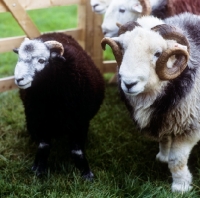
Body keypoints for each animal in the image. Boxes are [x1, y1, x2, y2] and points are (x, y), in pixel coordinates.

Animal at [13, 32, 105, 179]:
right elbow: (44, 145)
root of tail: (54, 32)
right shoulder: (40, 119)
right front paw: (38, 168)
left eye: (41, 61)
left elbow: (76, 151)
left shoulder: (80, 121)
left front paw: (86, 173)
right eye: (19, 58)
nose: (19, 79)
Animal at [101, 12, 200, 192]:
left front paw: (181, 186)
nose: (129, 83)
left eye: (157, 53)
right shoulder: (165, 120)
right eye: (123, 48)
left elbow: (177, 161)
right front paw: (163, 157)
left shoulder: (190, 127)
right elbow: (165, 139)